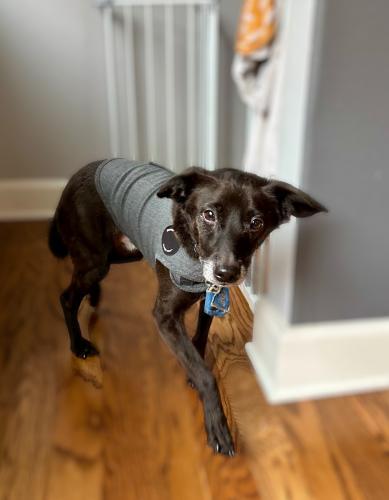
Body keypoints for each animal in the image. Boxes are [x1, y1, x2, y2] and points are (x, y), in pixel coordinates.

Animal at [49, 158, 328, 456]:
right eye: (208, 214)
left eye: (256, 222)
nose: (226, 273)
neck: (193, 250)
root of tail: (77, 175)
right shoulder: (165, 316)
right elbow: (206, 375)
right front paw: (217, 425)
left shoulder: (211, 298)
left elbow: (200, 339)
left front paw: (195, 366)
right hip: (95, 258)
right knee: (67, 297)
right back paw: (78, 344)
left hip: (120, 252)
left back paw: (94, 296)